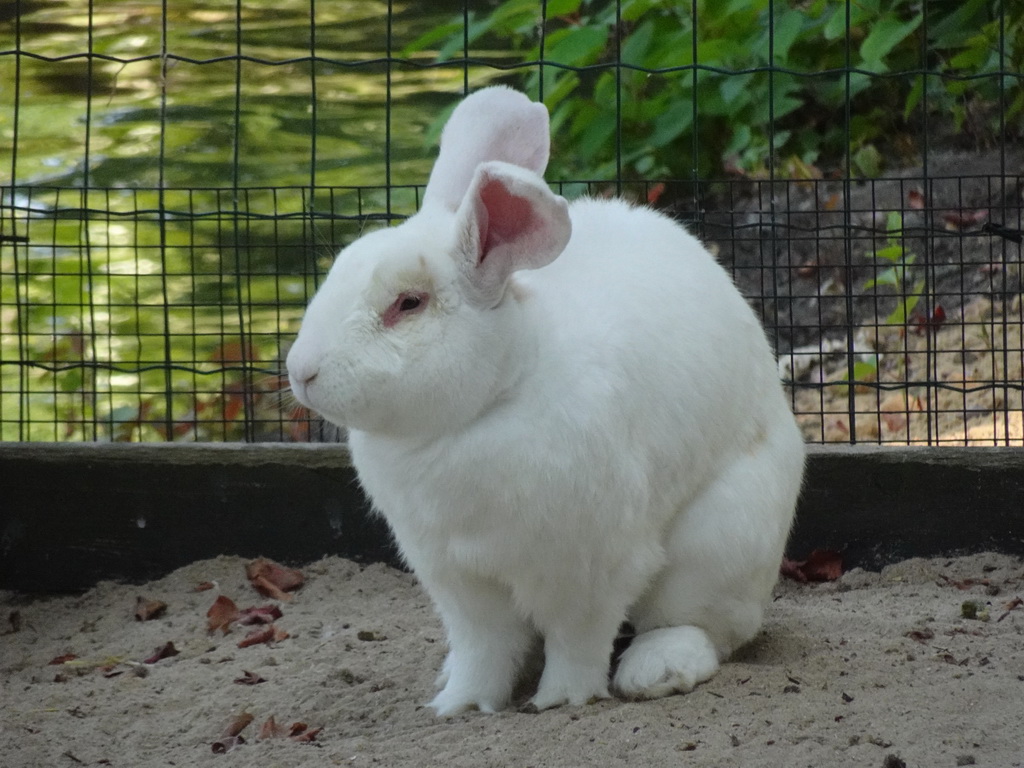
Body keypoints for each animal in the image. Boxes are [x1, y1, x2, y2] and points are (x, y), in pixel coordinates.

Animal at [284, 87, 802, 720]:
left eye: (408, 304)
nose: (301, 371)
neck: (488, 404)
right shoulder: (458, 580)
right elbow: (484, 648)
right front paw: (459, 705)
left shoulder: (591, 568)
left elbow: (577, 641)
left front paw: (561, 700)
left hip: (719, 545)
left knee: (699, 626)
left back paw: (656, 670)